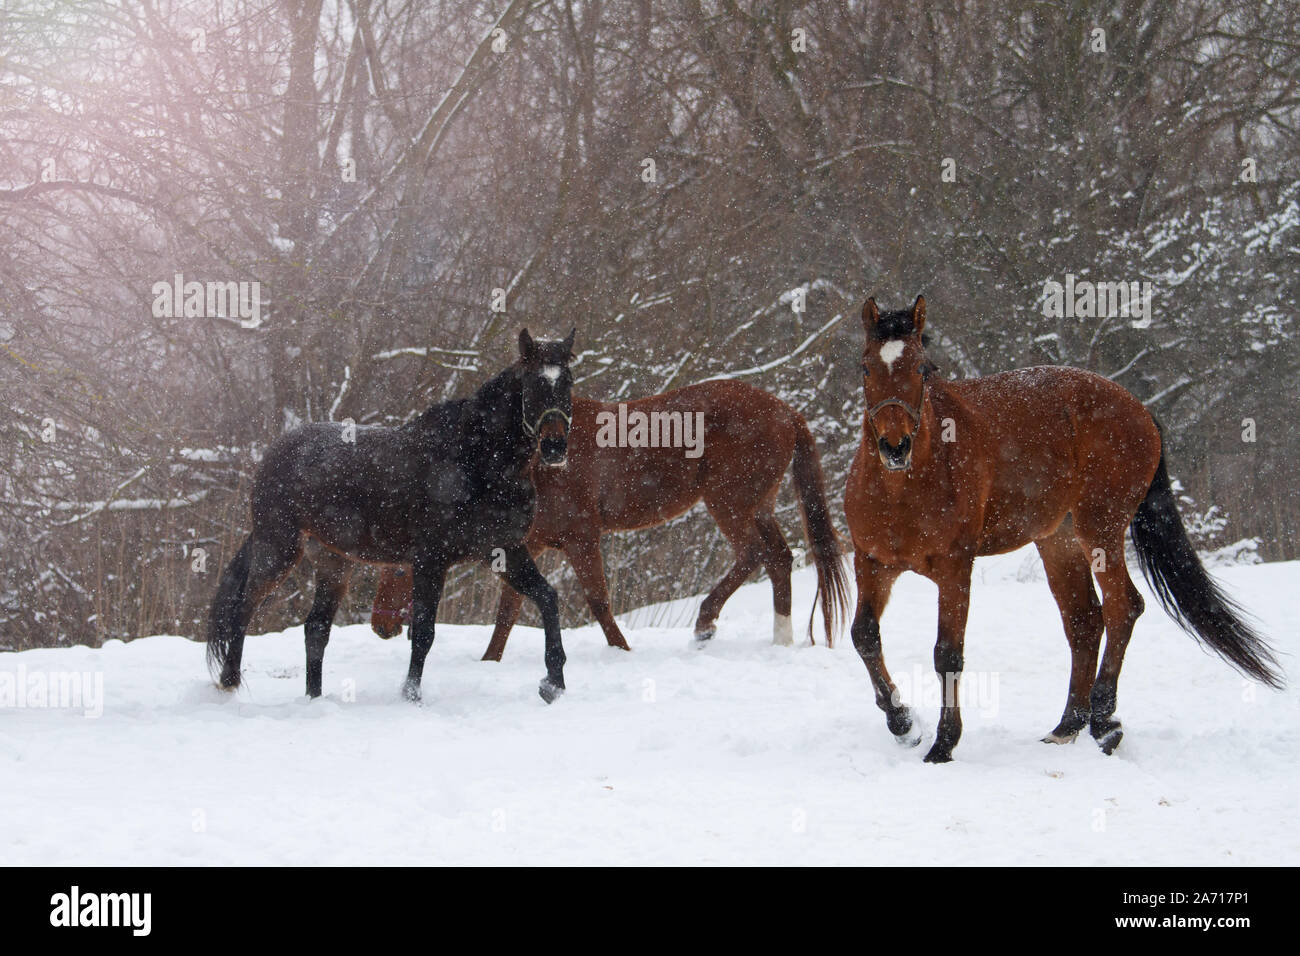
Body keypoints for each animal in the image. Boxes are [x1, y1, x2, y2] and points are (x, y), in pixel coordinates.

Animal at [206, 328, 577, 704]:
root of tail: (275, 452)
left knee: (315, 629)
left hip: (334, 563)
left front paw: (553, 683)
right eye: (533, 382)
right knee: (244, 608)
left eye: (567, 382)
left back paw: (314, 698)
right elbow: (424, 631)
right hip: (278, 550)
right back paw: (229, 682)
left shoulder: (503, 551)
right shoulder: (431, 559)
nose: (554, 447)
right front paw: (411, 695)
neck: (475, 461)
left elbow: (548, 598)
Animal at [369, 380, 850, 660]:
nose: (380, 627)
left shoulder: (583, 538)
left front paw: (622, 651)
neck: (535, 467)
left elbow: (598, 601)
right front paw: (490, 661)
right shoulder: (528, 545)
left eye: (400, 566)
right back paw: (780, 639)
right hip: (758, 505)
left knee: (754, 555)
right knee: (779, 559)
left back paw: (706, 623)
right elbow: (507, 612)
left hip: (729, 502)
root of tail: (785, 411)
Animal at [844, 295, 1282, 762]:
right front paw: (904, 723)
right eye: (866, 367)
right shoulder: (873, 564)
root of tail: (1140, 410)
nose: (895, 446)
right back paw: (1068, 726)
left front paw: (943, 744)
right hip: (1059, 541)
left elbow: (948, 653)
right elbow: (864, 636)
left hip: (1100, 531)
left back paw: (1105, 722)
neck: (901, 489)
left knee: (1122, 608)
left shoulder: (954, 568)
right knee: (1084, 621)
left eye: (924, 369)